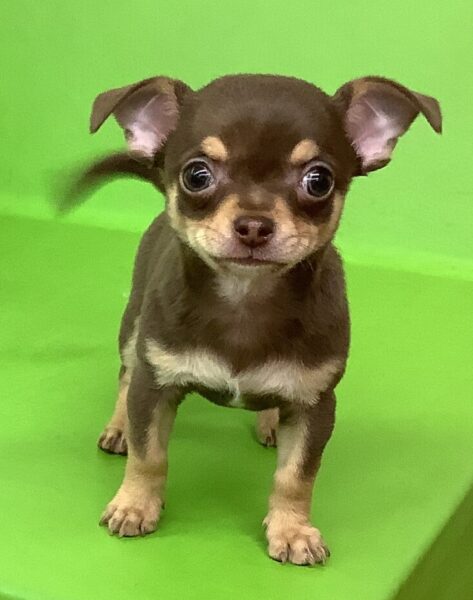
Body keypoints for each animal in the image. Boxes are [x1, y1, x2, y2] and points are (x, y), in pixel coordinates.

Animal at [67, 74, 441, 565]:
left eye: (318, 181)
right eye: (197, 175)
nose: (254, 224)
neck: (245, 300)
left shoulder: (315, 405)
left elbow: (296, 476)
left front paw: (293, 530)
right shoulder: (156, 382)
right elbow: (150, 455)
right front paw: (135, 505)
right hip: (133, 330)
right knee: (126, 376)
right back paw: (118, 428)